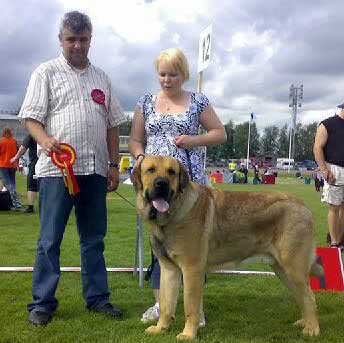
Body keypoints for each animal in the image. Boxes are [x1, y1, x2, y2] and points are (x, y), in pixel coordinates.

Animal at [133, 157, 322, 342]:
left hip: (293, 267)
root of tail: (303, 206)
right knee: (301, 296)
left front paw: (188, 334)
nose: (161, 183)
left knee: (309, 297)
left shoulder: (191, 269)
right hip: (282, 270)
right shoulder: (169, 269)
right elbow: (166, 304)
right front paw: (160, 328)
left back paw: (312, 329)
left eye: (172, 172)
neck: (171, 216)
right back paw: (304, 322)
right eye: (150, 170)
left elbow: (190, 306)